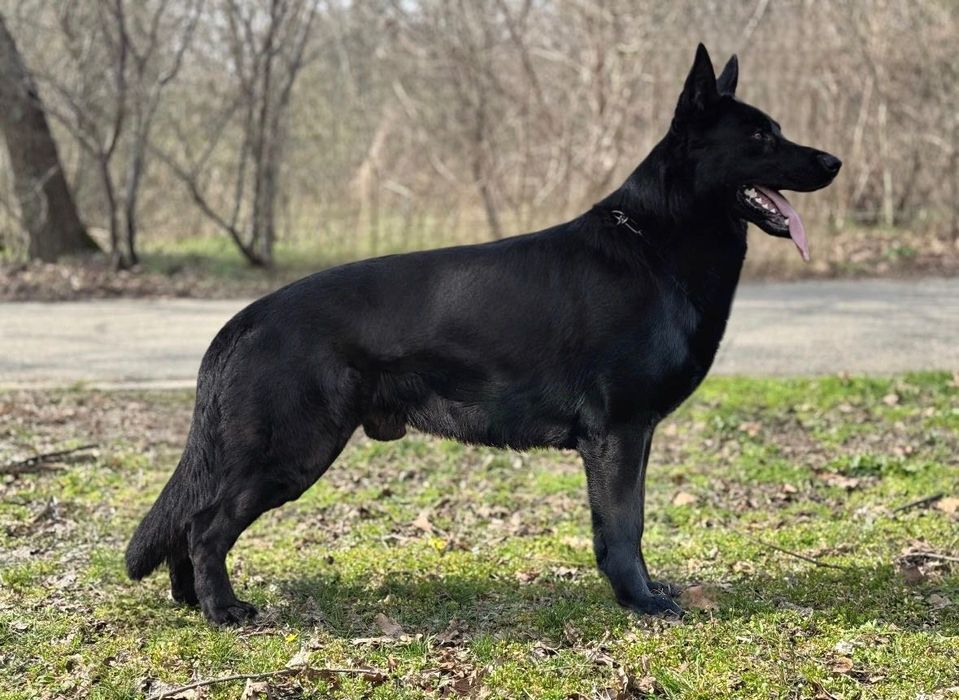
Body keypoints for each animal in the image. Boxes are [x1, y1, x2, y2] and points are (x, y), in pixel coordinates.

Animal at [126, 44, 841, 625]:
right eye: (760, 135)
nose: (834, 161)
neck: (655, 244)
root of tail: (242, 321)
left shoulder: (631, 438)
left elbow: (625, 528)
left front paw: (641, 594)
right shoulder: (619, 434)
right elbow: (624, 528)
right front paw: (639, 603)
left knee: (190, 522)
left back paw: (190, 602)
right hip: (292, 453)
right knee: (205, 527)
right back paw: (223, 610)